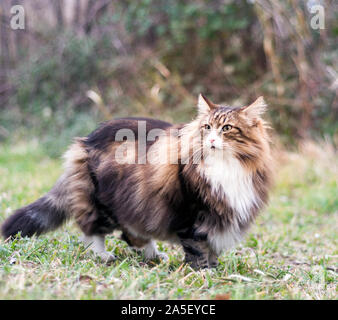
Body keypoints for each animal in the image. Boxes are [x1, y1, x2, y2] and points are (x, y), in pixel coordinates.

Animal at [1, 94, 274, 268]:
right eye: (206, 127)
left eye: (227, 129)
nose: (212, 141)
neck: (225, 168)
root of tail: (86, 140)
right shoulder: (191, 214)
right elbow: (198, 249)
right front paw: (203, 273)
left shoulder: (219, 216)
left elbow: (213, 248)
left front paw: (215, 269)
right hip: (103, 202)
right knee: (93, 230)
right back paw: (103, 256)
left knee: (131, 234)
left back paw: (153, 256)